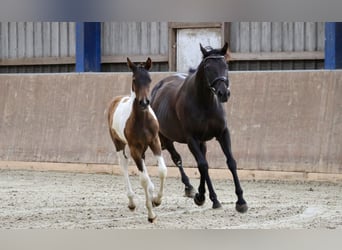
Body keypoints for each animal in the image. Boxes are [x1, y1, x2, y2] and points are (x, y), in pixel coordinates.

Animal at [107, 57, 168, 222]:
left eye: (149, 79)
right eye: (134, 79)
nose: (144, 102)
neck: (142, 120)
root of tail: (116, 100)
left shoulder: (155, 142)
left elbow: (162, 171)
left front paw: (157, 200)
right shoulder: (134, 148)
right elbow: (144, 180)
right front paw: (151, 214)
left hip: (143, 148)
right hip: (119, 144)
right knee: (124, 164)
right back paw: (132, 202)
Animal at [151, 43, 247, 213]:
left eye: (226, 65)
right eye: (208, 67)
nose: (223, 93)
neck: (204, 102)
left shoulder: (222, 134)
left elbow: (230, 162)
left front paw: (241, 201)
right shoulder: (192, 139)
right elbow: (202, 165)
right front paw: (204, 197)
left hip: (202, 141)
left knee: (202, 163)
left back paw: (208, 197)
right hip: (166, 138)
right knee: (179, 159)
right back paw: (191, 188)